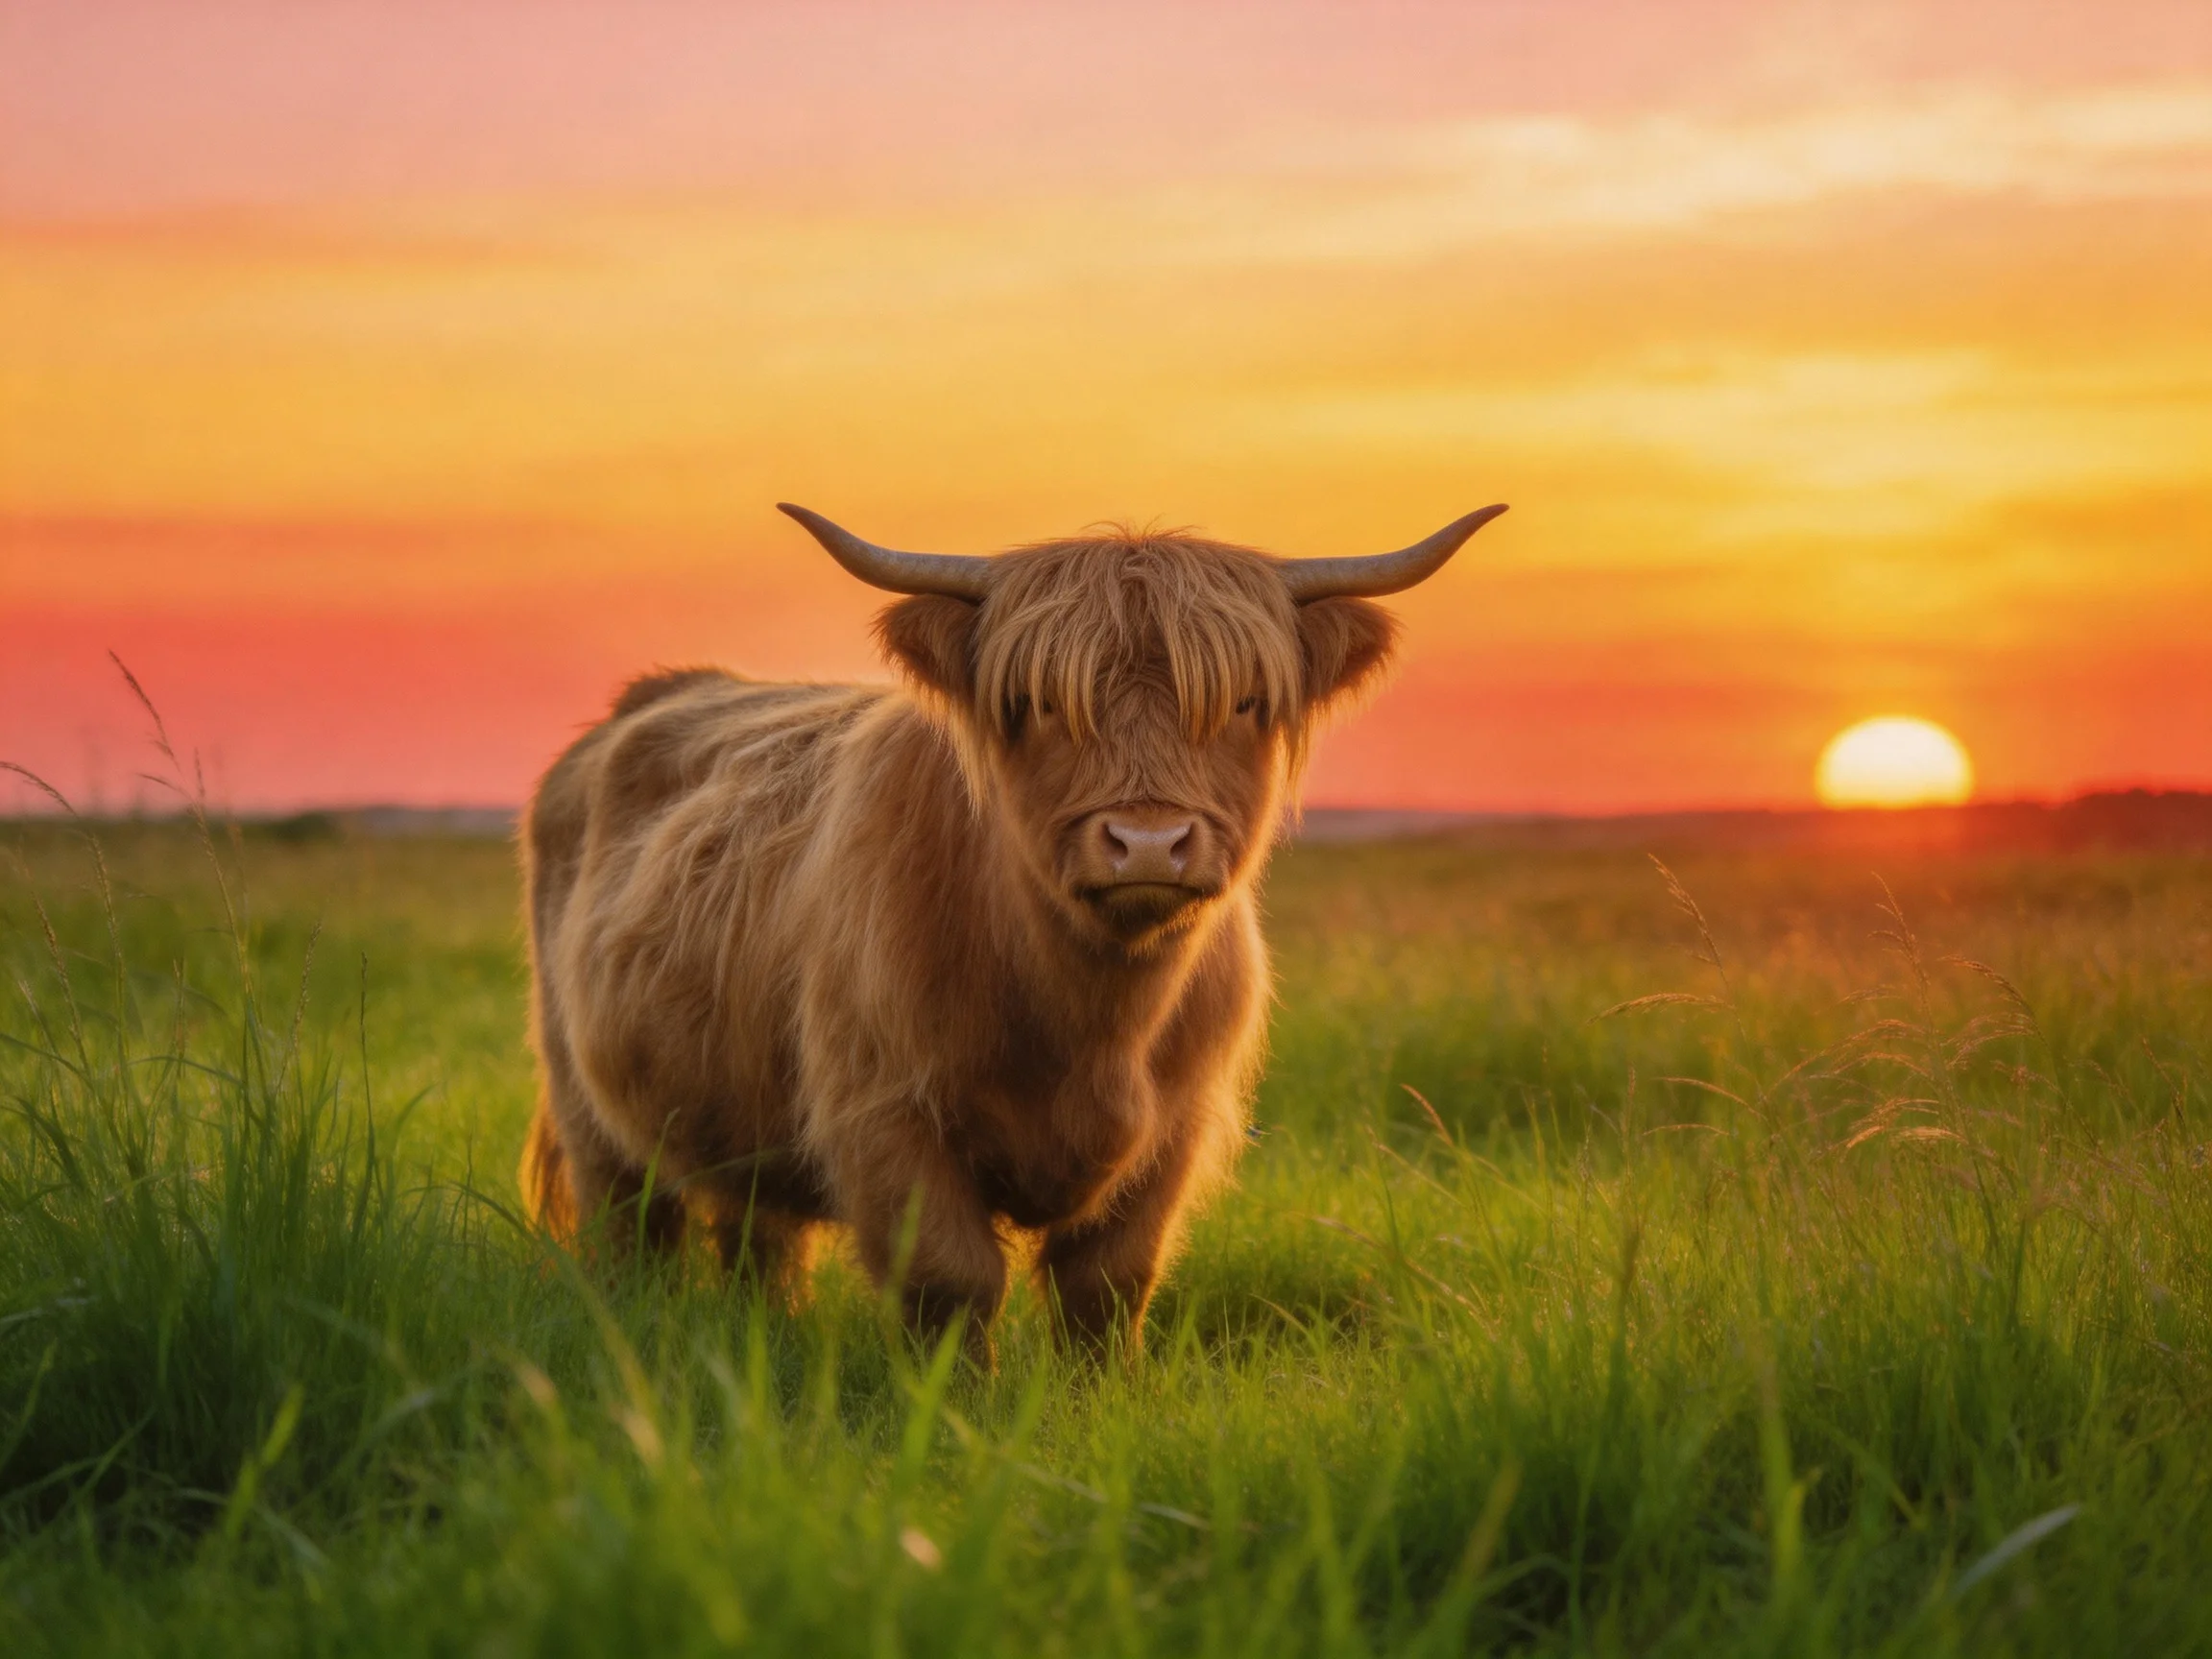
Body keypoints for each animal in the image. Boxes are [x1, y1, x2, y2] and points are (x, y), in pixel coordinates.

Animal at [518, 500, 1506, 1356]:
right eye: (1039, 703)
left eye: (1243, 703)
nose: (1148, 842)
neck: (1092, 1022)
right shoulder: (886, 1116)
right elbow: (951, 1285)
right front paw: (956, 1418)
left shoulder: (1173, 1134)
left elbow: (1108, 1287)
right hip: (592, 1111)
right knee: (635, 1232)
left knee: (758, 1240)